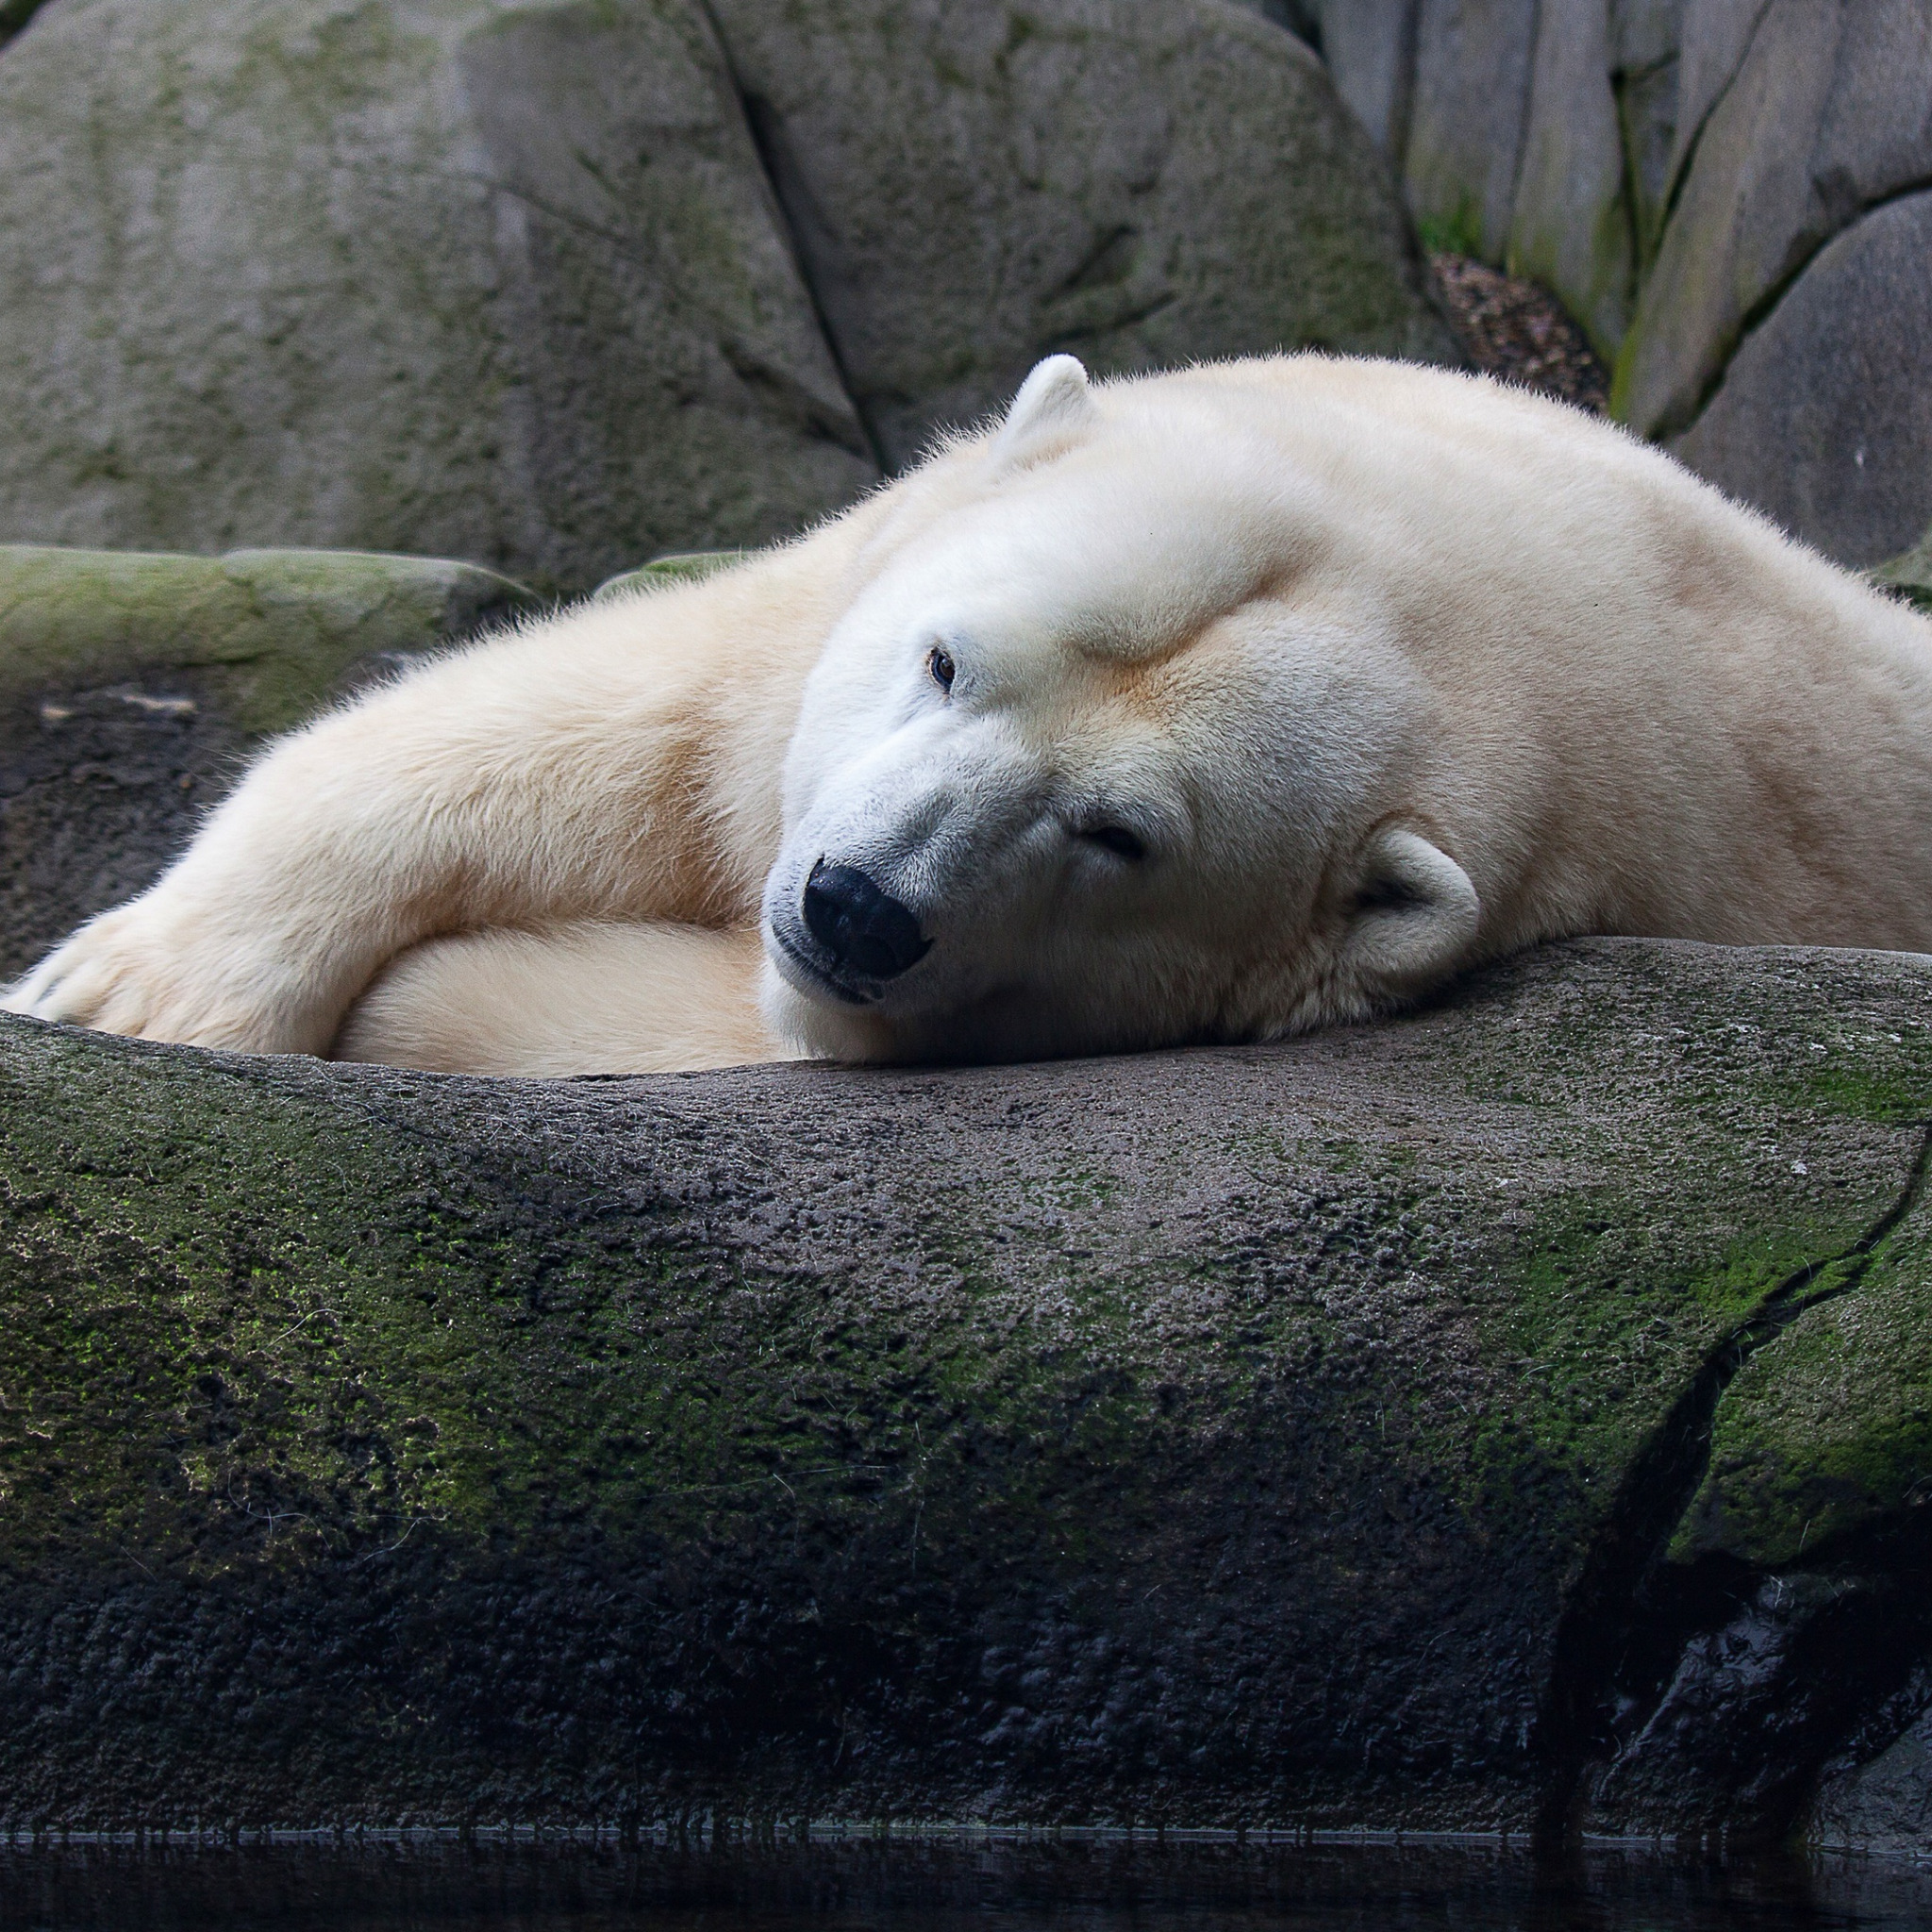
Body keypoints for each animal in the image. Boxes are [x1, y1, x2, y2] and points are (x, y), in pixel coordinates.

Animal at [11, 355, 1932, 1081]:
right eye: (947, 660)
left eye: (1117, 834)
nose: (854, 904)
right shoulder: (819, 620)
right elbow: (588, 722)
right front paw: (123, 992)